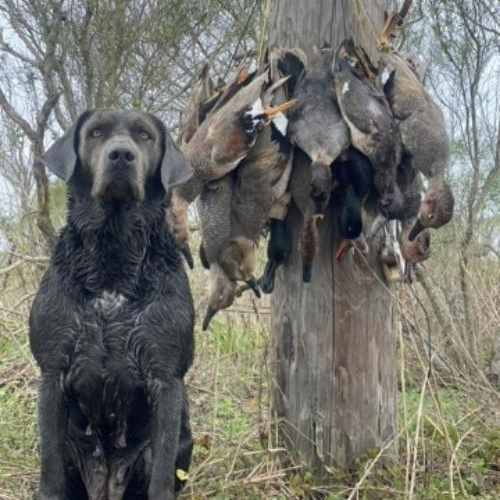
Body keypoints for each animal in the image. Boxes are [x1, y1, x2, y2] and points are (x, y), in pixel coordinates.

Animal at [29, 110, 195, 500]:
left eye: (145, 136)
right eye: (96, 133)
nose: (121, 155)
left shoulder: (165, 380)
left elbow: (161, 477)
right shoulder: (52, 375)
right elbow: (50, 474)